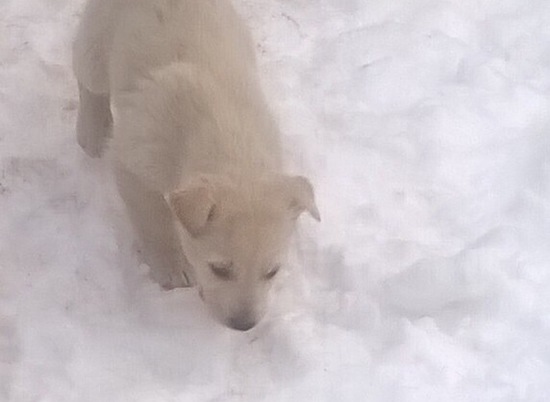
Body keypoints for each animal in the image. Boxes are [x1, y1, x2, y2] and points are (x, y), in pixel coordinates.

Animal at [75, 0, 322, 330]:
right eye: (219, 269)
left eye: (272, 271)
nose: (244, 325)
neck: (233, 142)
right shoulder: (137, 161)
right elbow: (154, 221)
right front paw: (171, 266)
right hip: (98, 40)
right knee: (88, 78)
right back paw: (92, 130)